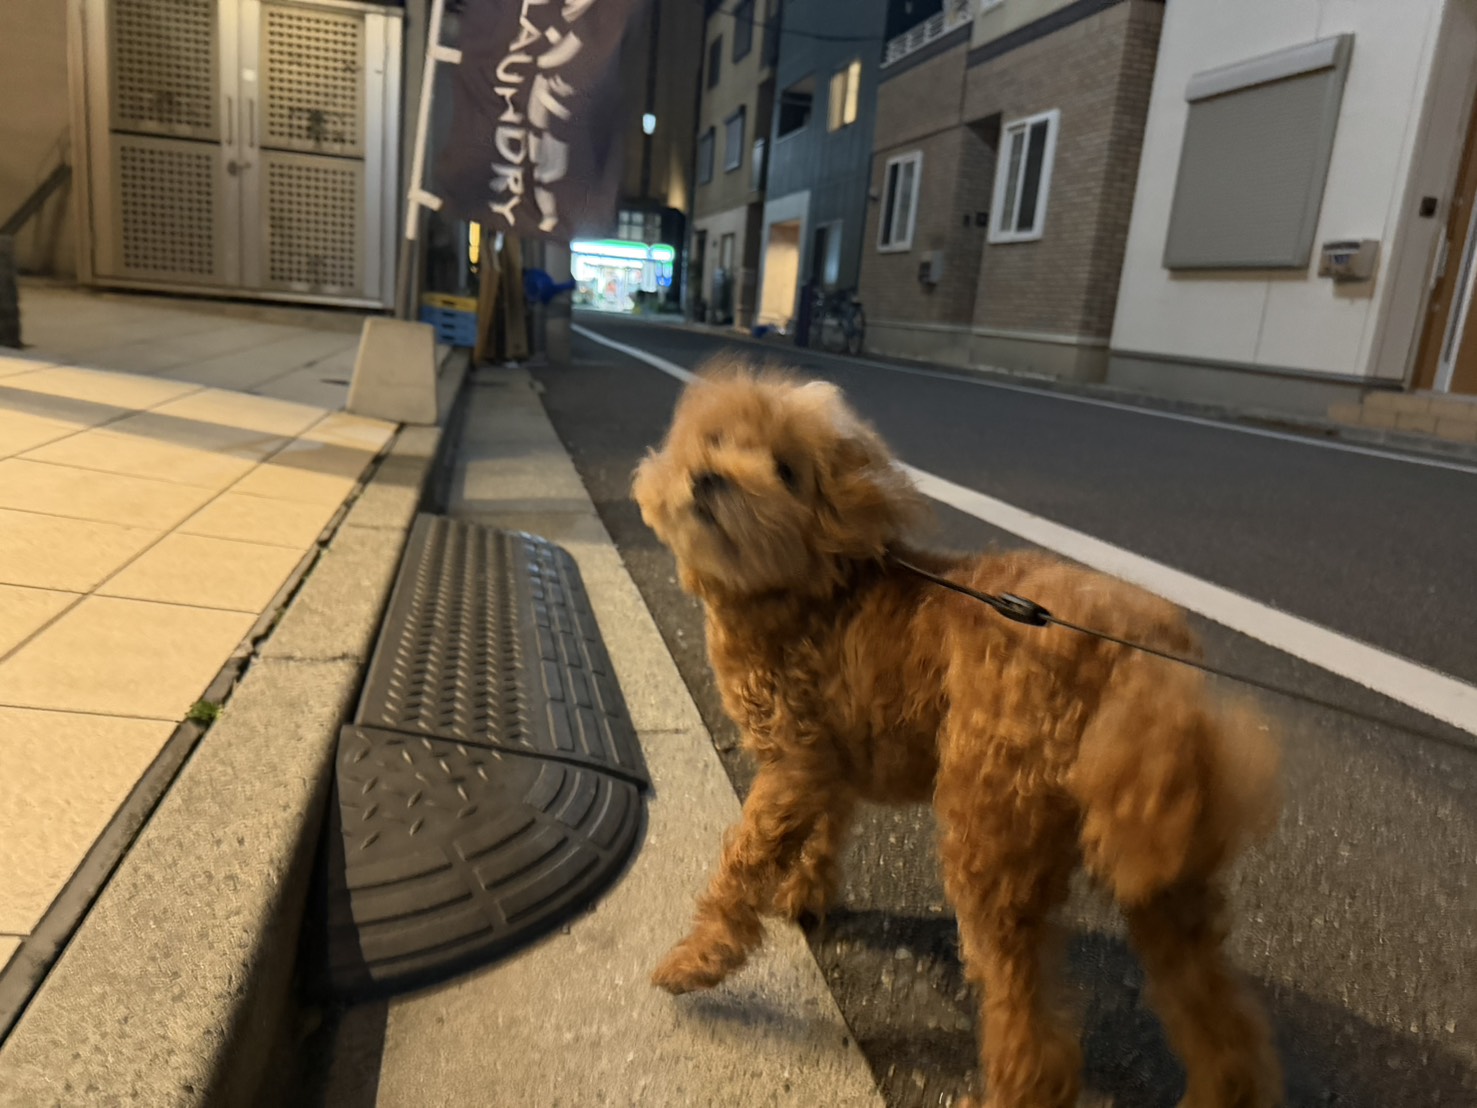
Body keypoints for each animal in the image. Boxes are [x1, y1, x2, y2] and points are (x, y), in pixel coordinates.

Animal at [633, 360, 1283, 1108]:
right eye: (712, 439)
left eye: (786, 471)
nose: (709, 477)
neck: (810, 588)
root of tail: (1141, 659)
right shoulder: (830, 760)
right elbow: (828, 829)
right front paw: (806, 894)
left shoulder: (791, 768)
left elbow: (739, 868)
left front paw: (696, 960)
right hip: (1158, 857)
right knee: (1214, 1010)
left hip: (992, 827)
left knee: (1026, 1016)